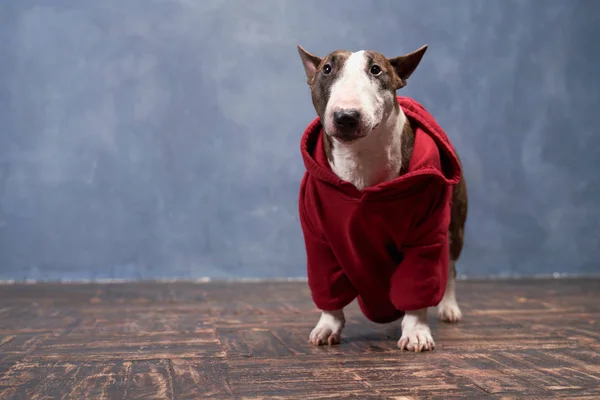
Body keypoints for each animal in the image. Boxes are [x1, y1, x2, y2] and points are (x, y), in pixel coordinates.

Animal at [296, 43, 468, 352]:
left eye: (376, 69)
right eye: (327, 68)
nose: (346, 117)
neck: (361, 159)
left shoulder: (426, 234)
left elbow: (418, 282)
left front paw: (415, 331)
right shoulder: (318, 236)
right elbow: (326, 284)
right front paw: (327, 325)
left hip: (454, 228)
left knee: (449, 266)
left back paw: (449, 307)